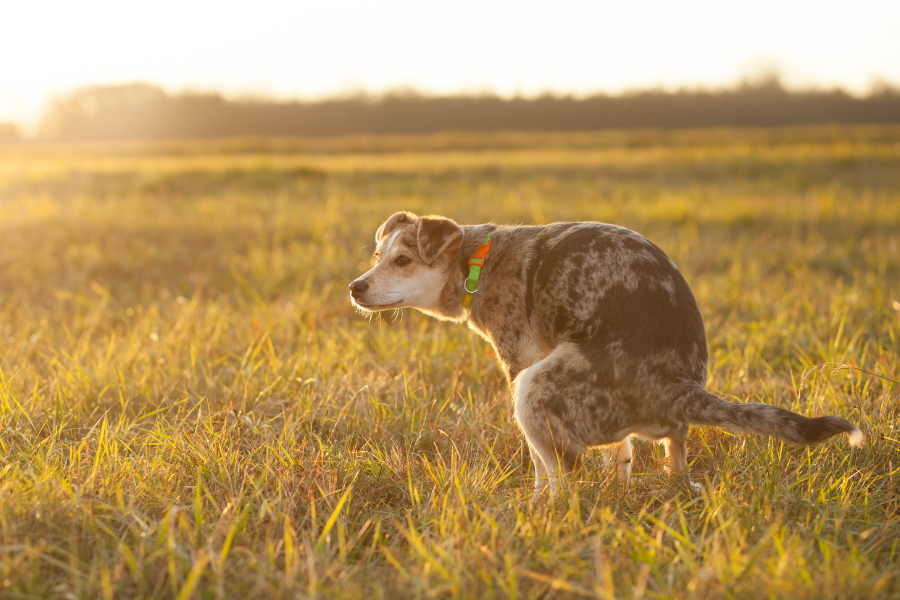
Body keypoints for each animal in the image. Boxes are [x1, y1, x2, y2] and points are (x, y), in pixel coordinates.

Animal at [350, 213, 864, 494]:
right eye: (376, 257)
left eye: (402, 261)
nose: (355, 287)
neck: (477, 261)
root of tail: (680, 387)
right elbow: (620, 456)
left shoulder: (519, 362)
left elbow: (540, 467)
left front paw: (534, 504)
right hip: (653, 429)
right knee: (667, 457)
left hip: (534, 388)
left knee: (565, 478)